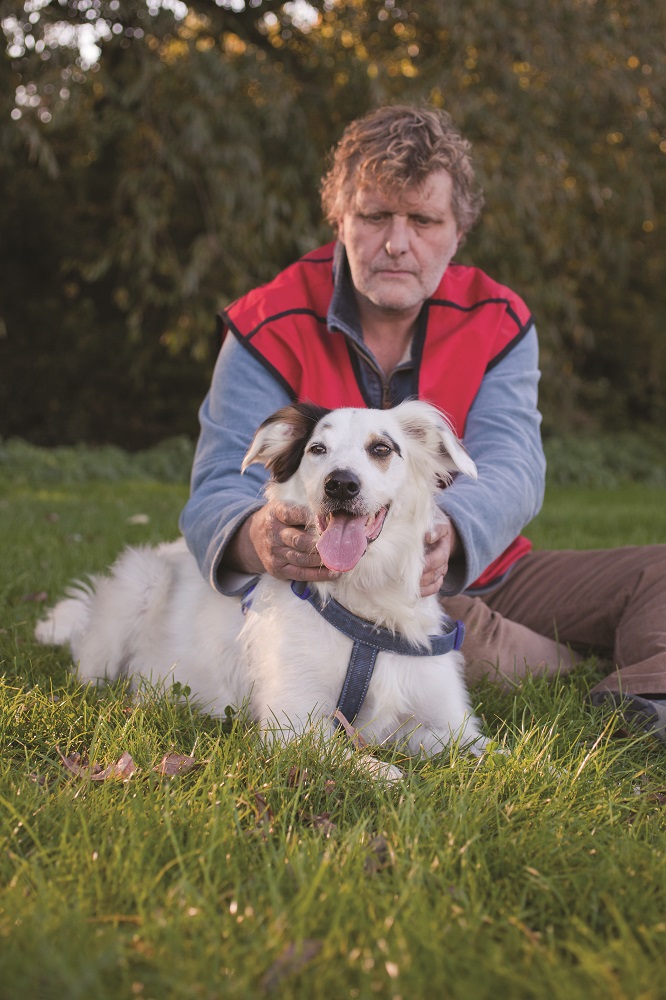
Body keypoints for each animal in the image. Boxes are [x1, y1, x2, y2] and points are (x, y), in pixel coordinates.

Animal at [33, 402, 486, 776]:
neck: (366, 605)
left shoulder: (453, 724)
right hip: (138, 581)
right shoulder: (294, 723)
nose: (340, 484)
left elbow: (484, 752)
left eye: (381, 449)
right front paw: (389, 774)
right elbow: (375, 765)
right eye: (317, 449)